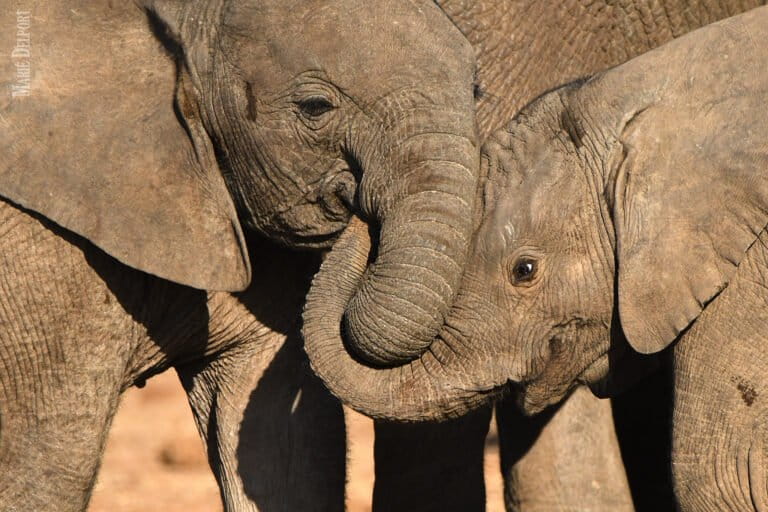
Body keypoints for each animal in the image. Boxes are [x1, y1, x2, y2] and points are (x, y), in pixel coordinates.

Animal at [0, 0, 482, 509]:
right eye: (315, 107)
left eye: (477, 90)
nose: (362, 212)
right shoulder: (44, 248)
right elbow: (46, 460)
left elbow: (284, 442)